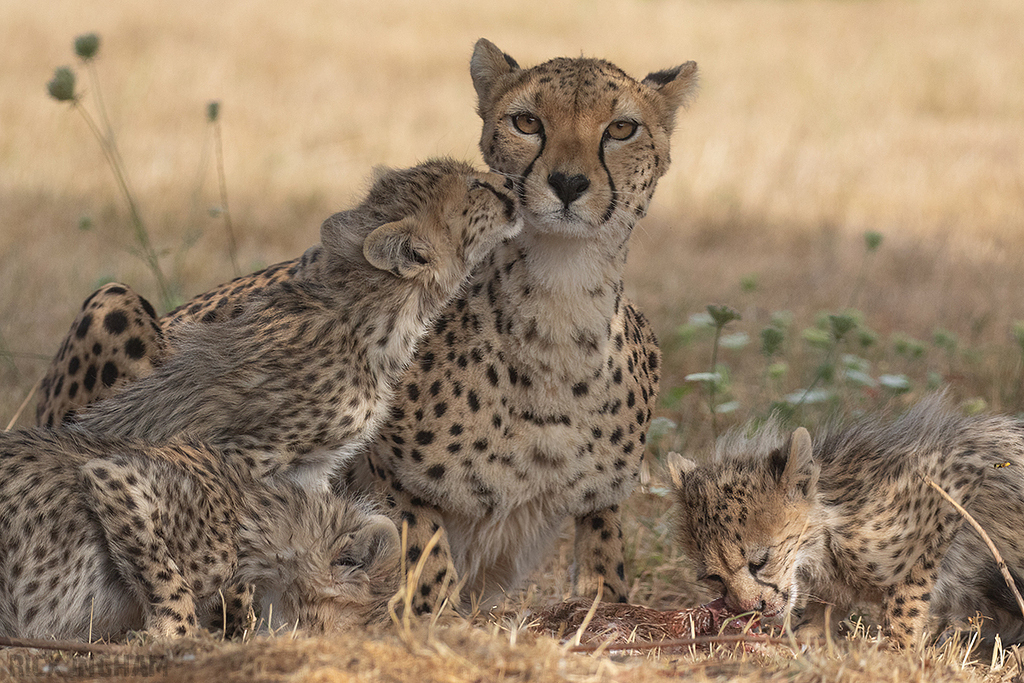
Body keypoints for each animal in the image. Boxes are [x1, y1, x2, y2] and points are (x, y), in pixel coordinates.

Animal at [33, 40, 699, 615]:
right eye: (527, 121)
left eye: (621, 129)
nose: (567, 183)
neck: (560, 307)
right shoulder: (383, 478)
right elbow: (423, 559)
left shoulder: (602, 501)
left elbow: (604, 575)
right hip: (114, 302)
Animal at [668, 396, 1024, 649]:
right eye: (714, 577)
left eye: (760, 561)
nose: (751, 608)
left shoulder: (957, 484)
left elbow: (906, 600)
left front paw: (897, 650)